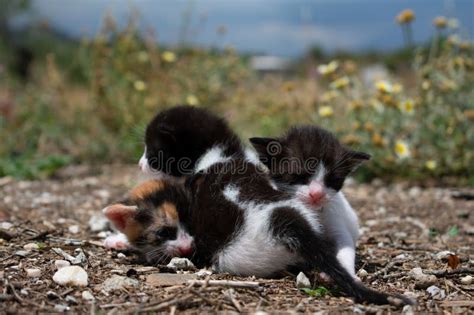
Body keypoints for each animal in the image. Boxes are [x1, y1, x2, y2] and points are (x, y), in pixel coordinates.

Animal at [250, 126, 372, 278]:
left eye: (332, 180)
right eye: (300, 176)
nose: (317, 193)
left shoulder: (338, 225)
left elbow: (346, 247)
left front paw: (345, 272)